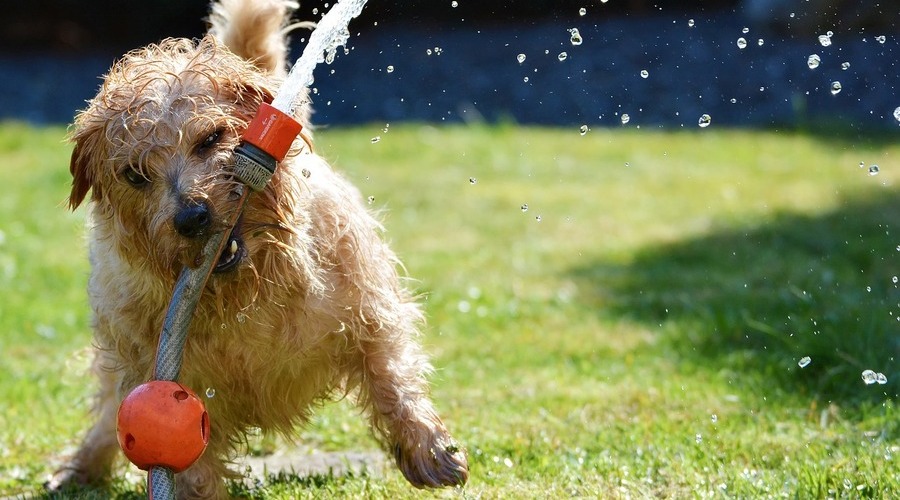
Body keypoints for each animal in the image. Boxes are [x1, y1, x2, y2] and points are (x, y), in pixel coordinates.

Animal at [47, 0, 472, 496]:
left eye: (211, 138)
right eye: (134, 174)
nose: (192, 217)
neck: (246, 294)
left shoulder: (368, 307)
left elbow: (390, 373)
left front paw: (428, 448)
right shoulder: (170, 379)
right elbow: (190, 461)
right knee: (107, 410)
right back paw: (80, 466)